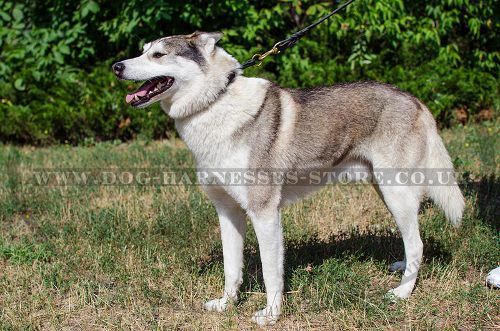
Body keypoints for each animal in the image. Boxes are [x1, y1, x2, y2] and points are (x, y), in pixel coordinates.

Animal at [113, 31, 464, 326]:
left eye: (158, 55)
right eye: (142, 51)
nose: (116, 67)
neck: (214, 104)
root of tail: (413, 99)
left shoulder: (265, 213)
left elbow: (271, 272)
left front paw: (270, 314)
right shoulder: (228, 212)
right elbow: (231, 268)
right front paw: (226, 305)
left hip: (396, 193)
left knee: (417, 243)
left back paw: (402, 292)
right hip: (385, 191)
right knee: (410, 241)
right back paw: (401, 270)